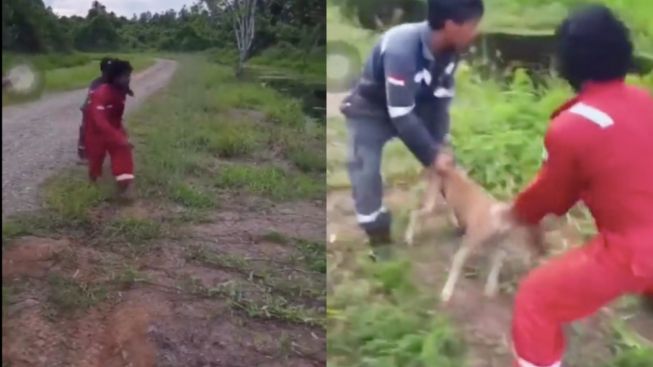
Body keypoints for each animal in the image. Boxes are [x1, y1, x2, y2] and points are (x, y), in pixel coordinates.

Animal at [404, 151, 544, 304]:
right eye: (532, 238)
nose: (539, 256)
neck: (497, 219)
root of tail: (448, 169)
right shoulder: (469, 244)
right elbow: (457, 263)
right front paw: (447, 291)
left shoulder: (493, 244)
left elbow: (497, 261)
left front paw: (490, 287)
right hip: (433, 203)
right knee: (415, 213)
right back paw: (409, 236)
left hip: (446, 200)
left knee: (436, 212)